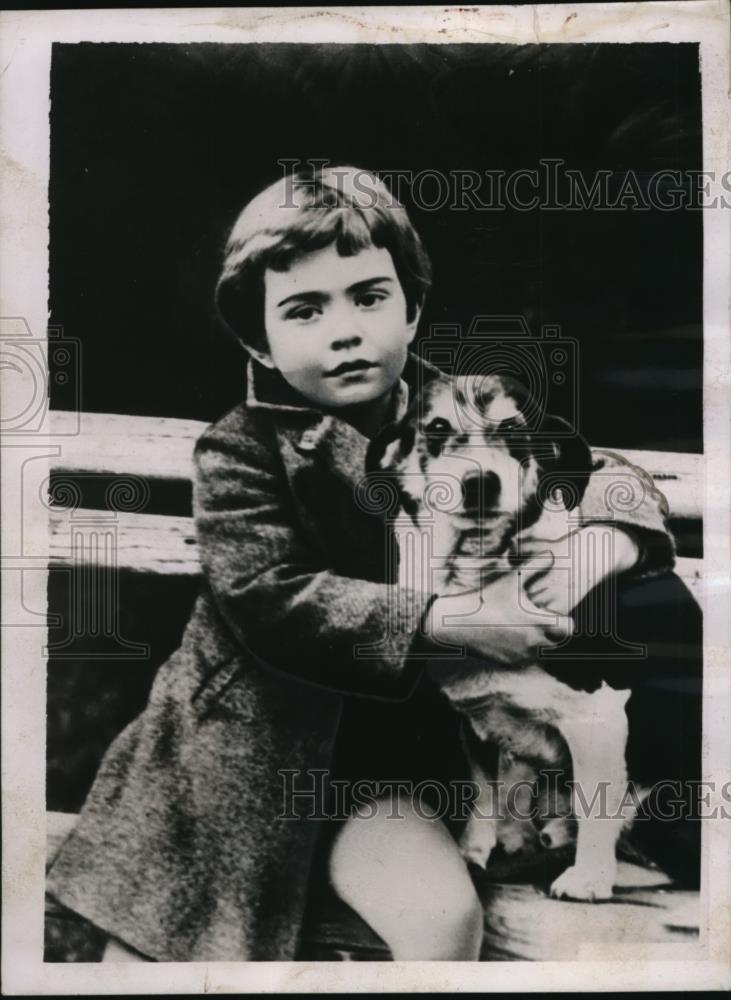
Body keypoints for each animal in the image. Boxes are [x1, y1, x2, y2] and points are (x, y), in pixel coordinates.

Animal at [374, 374, 644, 900]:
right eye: (437, 427)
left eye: (515, 429)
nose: (480, 483)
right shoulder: (475, 722)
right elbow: (485, 793)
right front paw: (475, 851)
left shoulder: (599, 716)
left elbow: (596, 802)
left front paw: (588, 877)